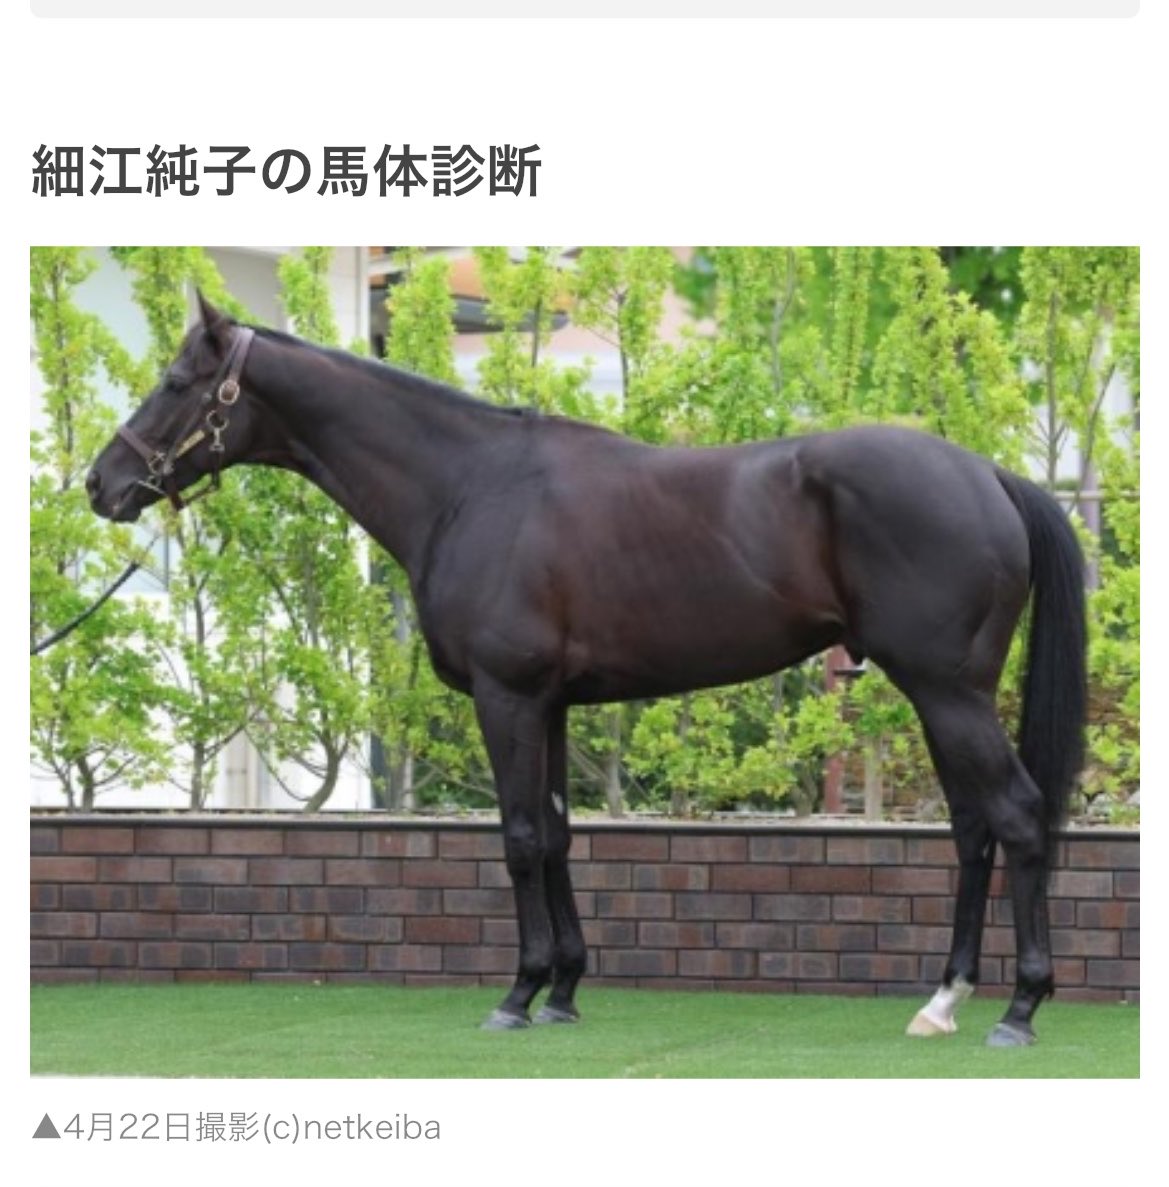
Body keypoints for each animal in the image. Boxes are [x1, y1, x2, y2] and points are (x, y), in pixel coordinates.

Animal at [87, 294, 1087, 1047]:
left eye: (175, 383)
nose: (102, 485)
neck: (469, 486)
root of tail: (989, 476)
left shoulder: (508, 697)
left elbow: (521, 837)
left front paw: (517, 994)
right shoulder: (554, 703)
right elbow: (561, 835)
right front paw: (564, 991)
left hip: (947, 692)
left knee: (1016, 816)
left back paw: (1018, 1009)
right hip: (940, 693)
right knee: (972, 830)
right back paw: (942, 1001)